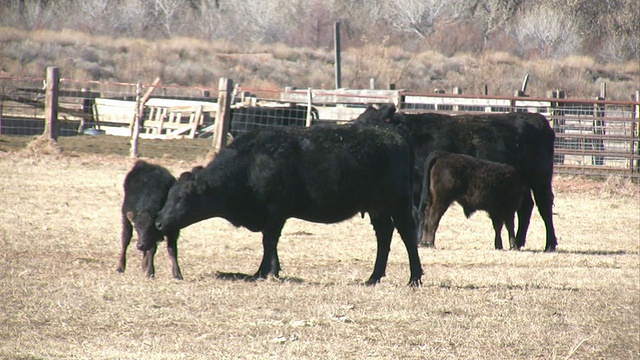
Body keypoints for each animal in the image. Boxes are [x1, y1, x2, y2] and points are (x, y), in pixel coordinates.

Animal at [156, 124, 424, 286]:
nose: (159, 221)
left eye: (182, 198)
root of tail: (394, 135)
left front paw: (268, 272)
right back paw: (373, 277)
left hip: (399, 204)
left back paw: (414, 278)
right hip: (378, 208)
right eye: (168, 196)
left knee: (408, 236)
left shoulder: (275, 212)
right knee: (384, 236)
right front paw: (264, 271)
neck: (251, 164)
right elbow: (268, 242)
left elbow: (269, 241)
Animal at [352, 103, 556, 250]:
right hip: (522, 185)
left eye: (371, 126)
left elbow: (421, 214)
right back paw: (520, 242)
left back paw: (550, 244)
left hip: (541, 181)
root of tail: (538, 119)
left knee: (544, 207)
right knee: (526, 207)